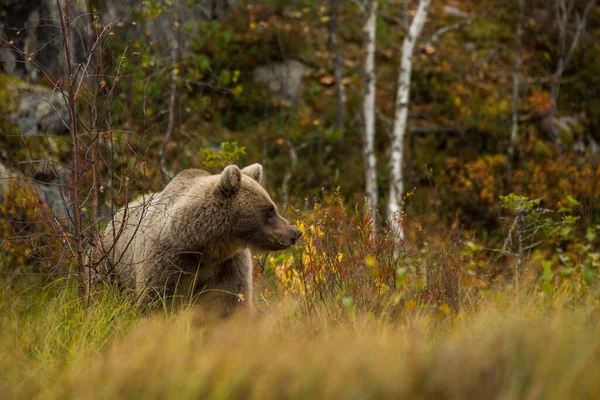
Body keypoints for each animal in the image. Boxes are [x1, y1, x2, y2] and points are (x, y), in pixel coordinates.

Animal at [86, 164, 302, 314]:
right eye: (269, 211)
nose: (295, 233)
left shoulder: (228, 266)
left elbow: (229, 303)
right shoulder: (167, 261)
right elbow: (155, 300)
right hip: (107, 264)